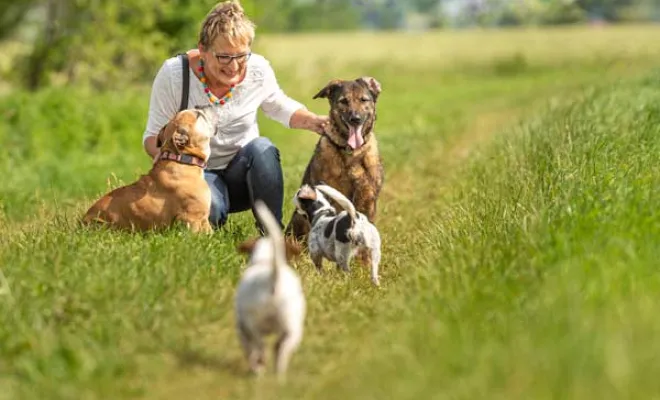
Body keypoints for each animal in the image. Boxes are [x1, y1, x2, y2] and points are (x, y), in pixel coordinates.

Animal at [284, 76, 386, 242]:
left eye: (364, 100)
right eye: (343, 101)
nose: (355, 119)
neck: (352, 152)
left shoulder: (368, 198)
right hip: (298, 218)